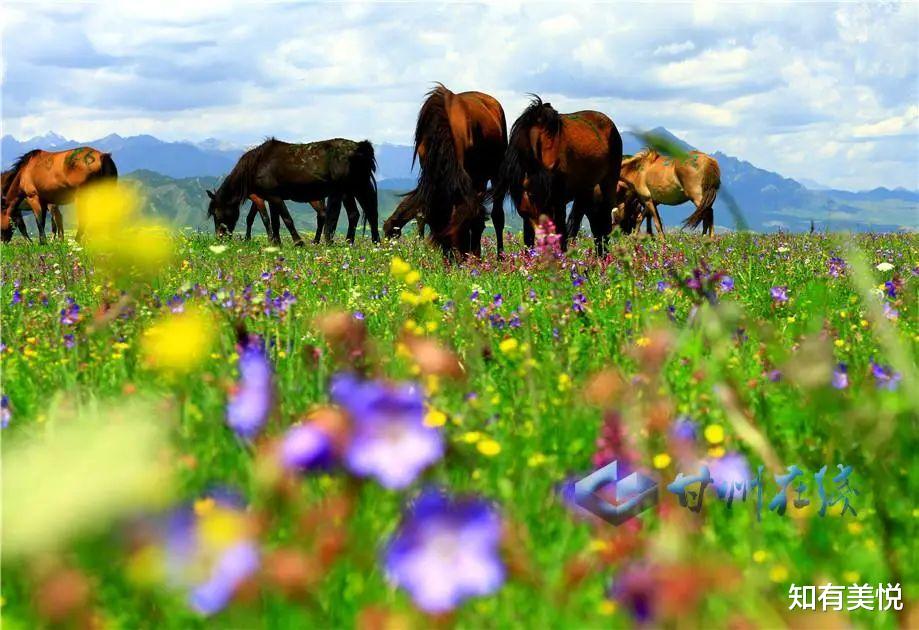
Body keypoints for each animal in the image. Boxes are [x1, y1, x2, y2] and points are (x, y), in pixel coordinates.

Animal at [207, 138, 380, 247]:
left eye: (216, 213)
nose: (219, 239)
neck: (258, 164)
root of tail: (359, 147)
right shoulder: (271, 198)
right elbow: (275, 222)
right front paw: (276, 243)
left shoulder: (274, 197)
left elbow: (286, 219)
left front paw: (298, 242)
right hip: (358, 188)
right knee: (365, 213)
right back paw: (370, 242)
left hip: (344, 191)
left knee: (347, 215)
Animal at [414, 85, 506, 258]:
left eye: (462, 230)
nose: (458, 260)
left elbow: (477, 218)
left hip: (494, 172)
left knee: (497, 215)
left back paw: (498, 257)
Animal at [496, 97, 624, 256]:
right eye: (531, 195)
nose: (544, 237)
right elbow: (528, 238)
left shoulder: (558, 201)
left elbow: (561, 232)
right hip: (586, 191)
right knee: (594, 222)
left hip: (608, 184)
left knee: (604, 223)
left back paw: (604, 256)